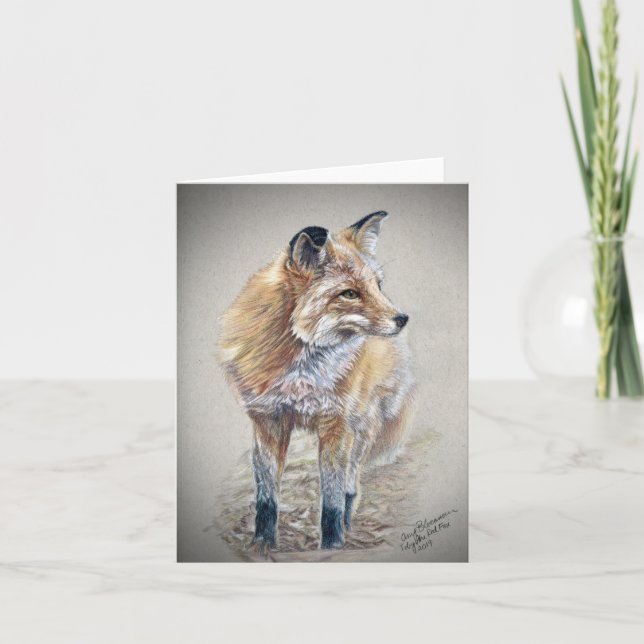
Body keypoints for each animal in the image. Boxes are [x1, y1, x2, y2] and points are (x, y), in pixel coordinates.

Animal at [219, 211, 414, 552]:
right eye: (349, 293)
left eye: (377, 286)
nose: (401, 319)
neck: (298, 371)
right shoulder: (267, 421)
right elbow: (267, 498)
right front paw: (263, 544)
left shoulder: (336, 424)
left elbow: (332, 499)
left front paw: (332, 545)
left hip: (361, 428)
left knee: (350, 485)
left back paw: (347, 526)